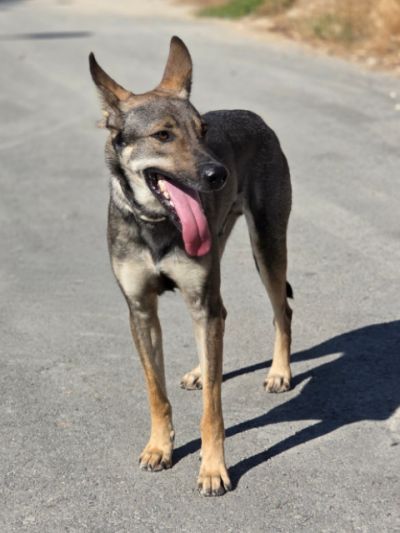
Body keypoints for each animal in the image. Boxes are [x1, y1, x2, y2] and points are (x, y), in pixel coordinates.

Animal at [89, 36, 292, 496]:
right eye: (162, 135)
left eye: (203, 132)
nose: (218, 174)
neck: (157, 224)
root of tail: (255, 117)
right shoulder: (141, 311)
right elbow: (156, 391)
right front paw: (159, 447)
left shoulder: (201, 300)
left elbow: (212, 409)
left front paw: (213, 467)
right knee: (223, 320)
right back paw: (203, 370)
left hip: (267, 247)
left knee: (282, 310)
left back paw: (279, 372)